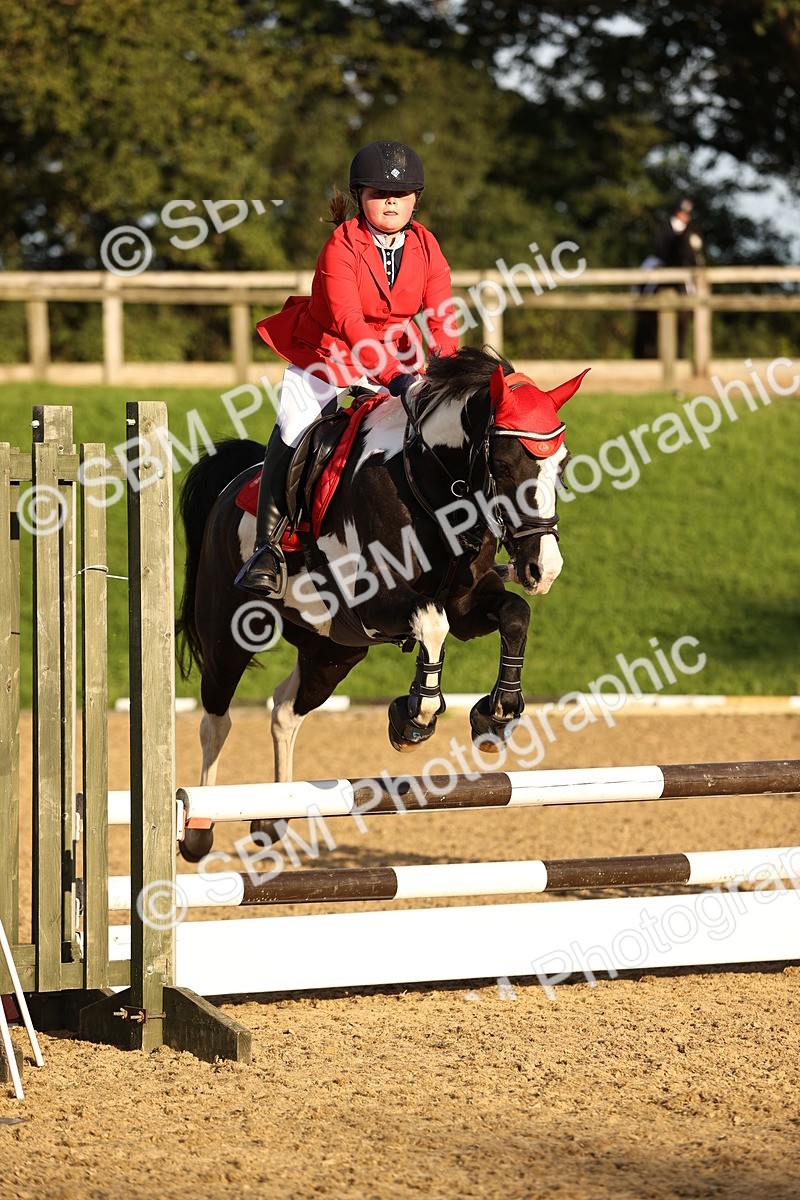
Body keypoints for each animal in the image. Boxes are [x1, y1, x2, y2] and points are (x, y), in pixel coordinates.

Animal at [175, 346, 585, 861]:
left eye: (562, 466)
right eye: (507, 464)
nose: (542, 569)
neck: (430, 485)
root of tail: (233, 487)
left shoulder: (468, 605)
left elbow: (515, 615)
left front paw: (496, 715)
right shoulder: (375, 602)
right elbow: (431, 623)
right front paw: (414, 719)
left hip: (333, 650)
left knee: (285, 709)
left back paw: (274, 817)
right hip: (229, 636)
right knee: (216, 721)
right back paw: (199, 827)